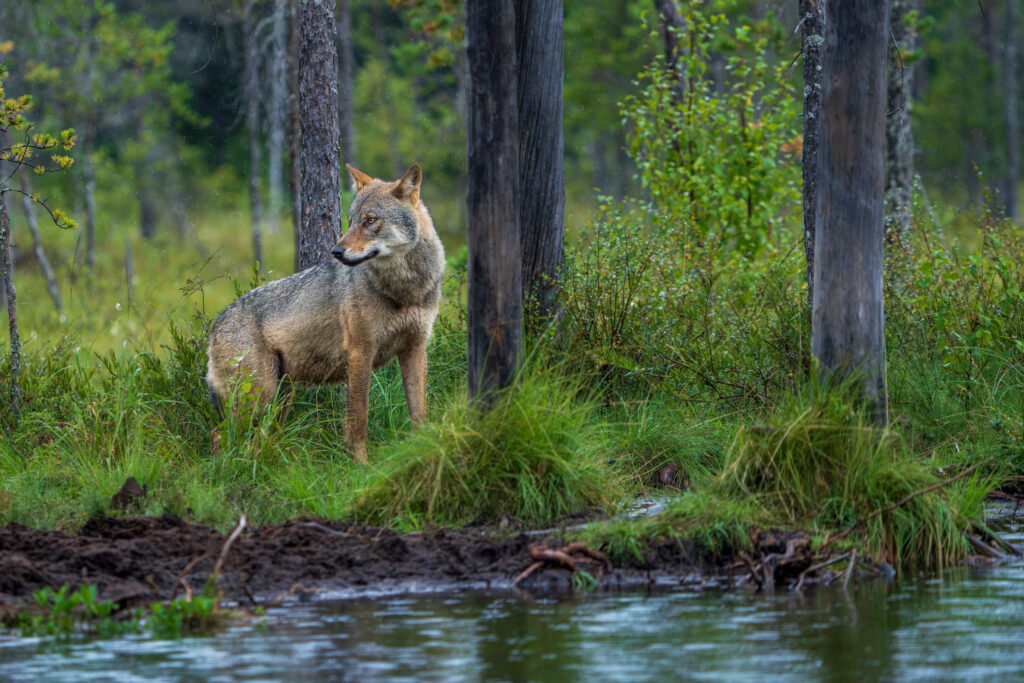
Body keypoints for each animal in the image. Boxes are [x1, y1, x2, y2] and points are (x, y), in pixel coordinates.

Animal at [206, 163, 444, 464]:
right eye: (351, 220)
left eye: (370, 220)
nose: (336, 251)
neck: (404, 290)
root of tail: (215, 325)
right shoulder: (360, 352)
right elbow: (358, 419)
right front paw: (361, 465)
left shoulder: (415, 349)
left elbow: (419, 413)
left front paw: (424, 451)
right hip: (261, 398)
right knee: (219, 434)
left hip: (278, 402)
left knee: (254, 441)